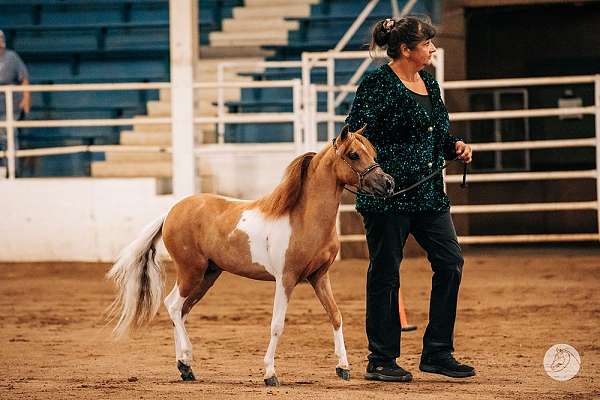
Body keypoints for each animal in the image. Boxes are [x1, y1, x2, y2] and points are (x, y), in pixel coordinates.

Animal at [106, 124, 396, 384]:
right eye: (354, 154)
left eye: (373, 152)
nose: (388, 183)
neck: (303, 218)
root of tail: (171, 212)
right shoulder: (286, 279)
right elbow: (277, 324)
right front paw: (270, 373)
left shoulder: (319, 277)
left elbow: (335, 316)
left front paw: (343, 367)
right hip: (191, 272)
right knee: (173, 306)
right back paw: (186, 359)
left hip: (208, 275)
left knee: (182, 311)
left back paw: (185, 367)